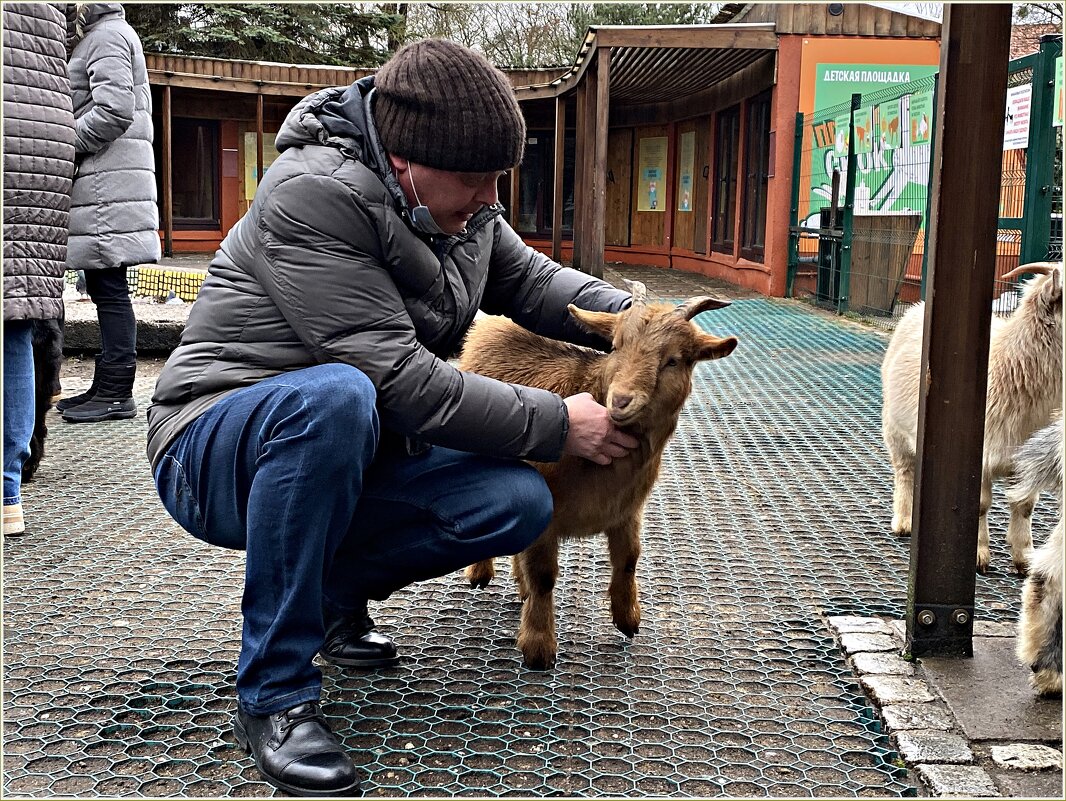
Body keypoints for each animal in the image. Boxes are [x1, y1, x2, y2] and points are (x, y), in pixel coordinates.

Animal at [458, 279, 741, 665]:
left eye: (673, 360)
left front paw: (628, 619)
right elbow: (544, 576)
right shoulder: (548, 516)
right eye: (616, 345)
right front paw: (538, 647)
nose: (621, 401)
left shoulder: (627, 510)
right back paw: (481, 572)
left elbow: (628, 560)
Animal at [878, 266, 1061, 571]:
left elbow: (1025, 505)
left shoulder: (1026, 460)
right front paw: (978, 554)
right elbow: (979, 505)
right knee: (905, 471)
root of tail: (918, 307)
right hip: (894, 428)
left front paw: (1024, 557)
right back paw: (904, 521)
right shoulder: (981, 454)